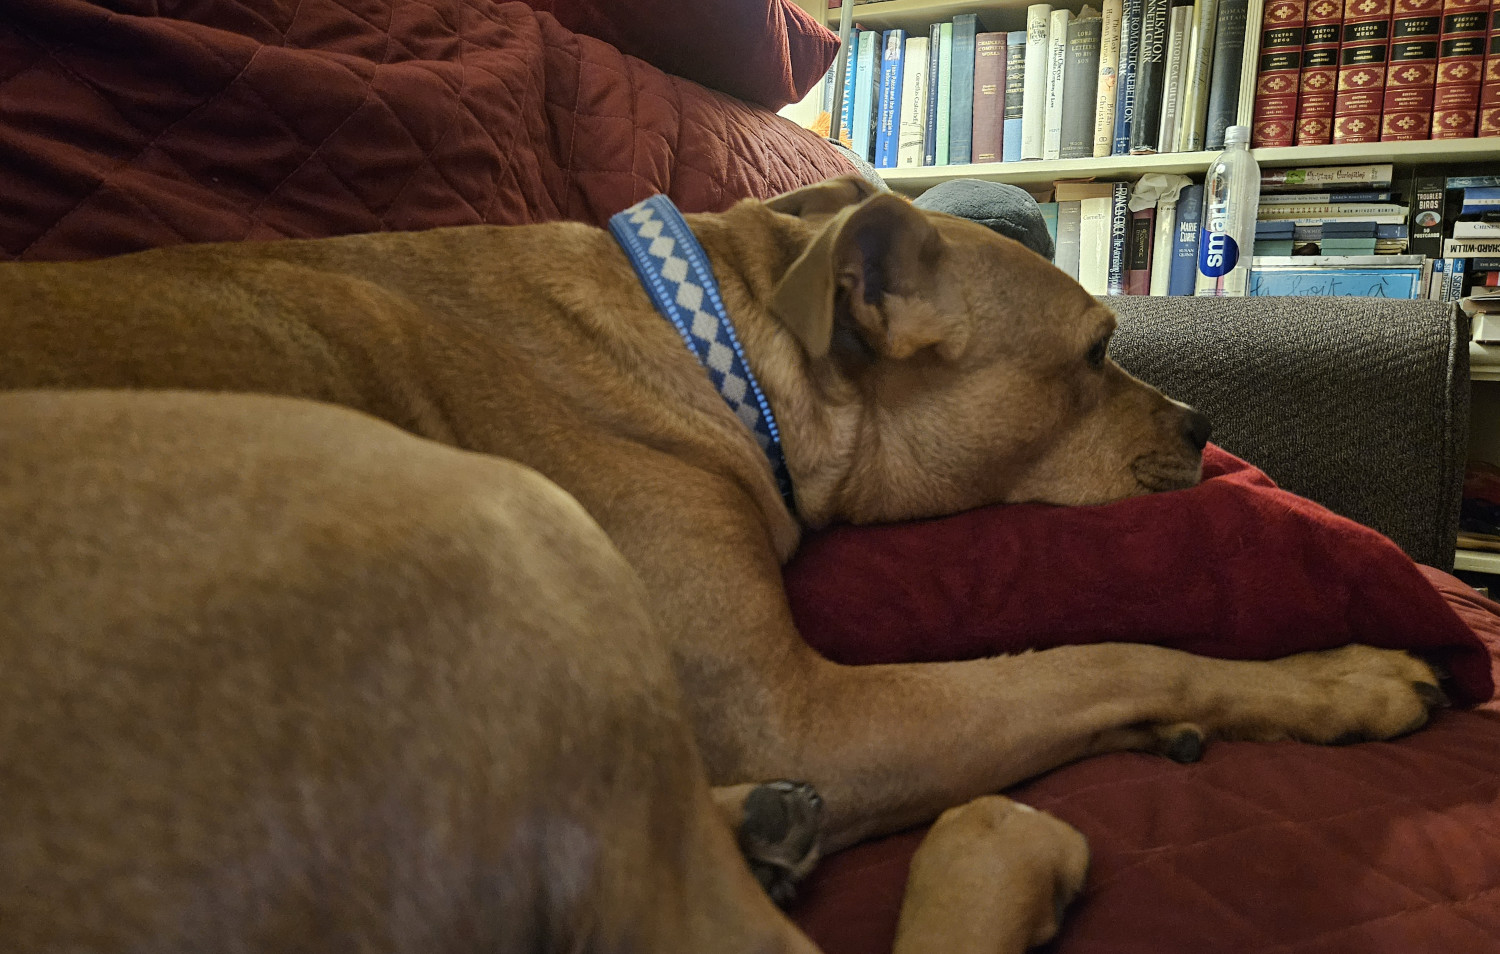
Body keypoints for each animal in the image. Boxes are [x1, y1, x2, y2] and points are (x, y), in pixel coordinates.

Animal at [0, 177, 1440, 948]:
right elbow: (1108, 649)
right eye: (1094, 352)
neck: (727, 345)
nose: (1202, 423)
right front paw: (1344, 675)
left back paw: (763, 824)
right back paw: (991, 848)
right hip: (511, 528)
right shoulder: (803, 710)